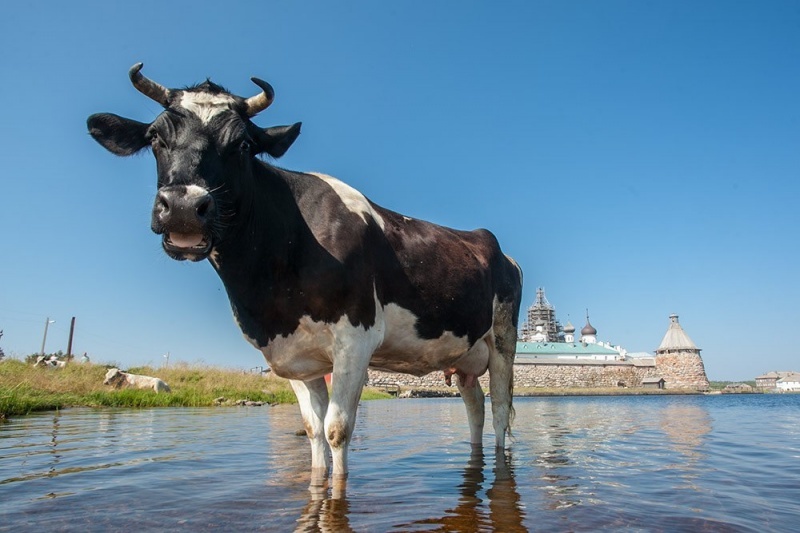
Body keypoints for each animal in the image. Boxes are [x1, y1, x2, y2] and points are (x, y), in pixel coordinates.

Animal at [87, 63, 523, 483]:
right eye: (155, 138)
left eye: (243, 144)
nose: (182, 208)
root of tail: (491, 243)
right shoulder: (293, 355)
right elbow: (313, 432)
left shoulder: (356, 340)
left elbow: (336, 430)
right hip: (464, 356)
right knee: (474, 406)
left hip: (503, 339)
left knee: (500, 408)